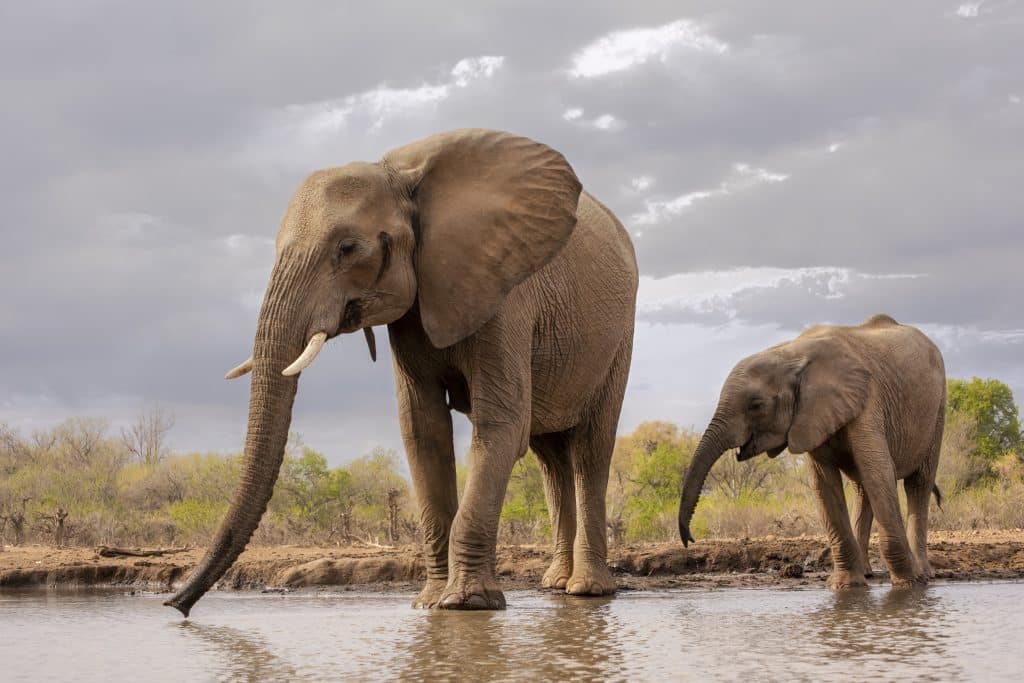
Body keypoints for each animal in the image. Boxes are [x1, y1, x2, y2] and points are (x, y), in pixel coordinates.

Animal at [165, 129, 638, 616]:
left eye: (347, 249)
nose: (177, 606)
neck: (402, 180)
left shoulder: (505, 296)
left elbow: (501, 423)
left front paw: (467, 604)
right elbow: (422, 430)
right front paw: (429, 604)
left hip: (619, 336)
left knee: (590, 449)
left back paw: (586, 590)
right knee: (551, 457)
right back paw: (555, 585)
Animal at [677, 314, 946, 588]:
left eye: (756, 405)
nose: (690, 540)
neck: (791, 353)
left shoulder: (867, 402)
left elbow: (878, 472)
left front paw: (908, 585)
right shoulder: (812, 415)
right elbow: (825, 484)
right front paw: (846, 586)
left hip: (938, 408)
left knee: (918, 484)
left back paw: (923, 575)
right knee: (863, 488)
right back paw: (868, 573)